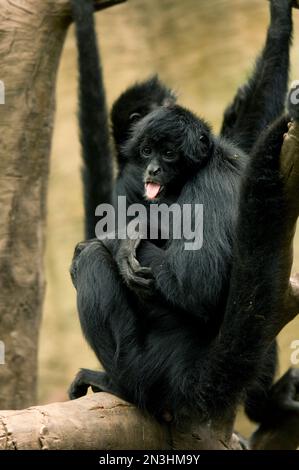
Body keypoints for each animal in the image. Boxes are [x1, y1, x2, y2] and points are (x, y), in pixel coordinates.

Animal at [69, 0, 298, 424]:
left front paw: (130, 230)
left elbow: (197, 285)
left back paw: (123, 385)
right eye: (148, 150)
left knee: (90, 257)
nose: (154, 170)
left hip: (145, 360)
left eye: (169, 153)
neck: (206, 164)